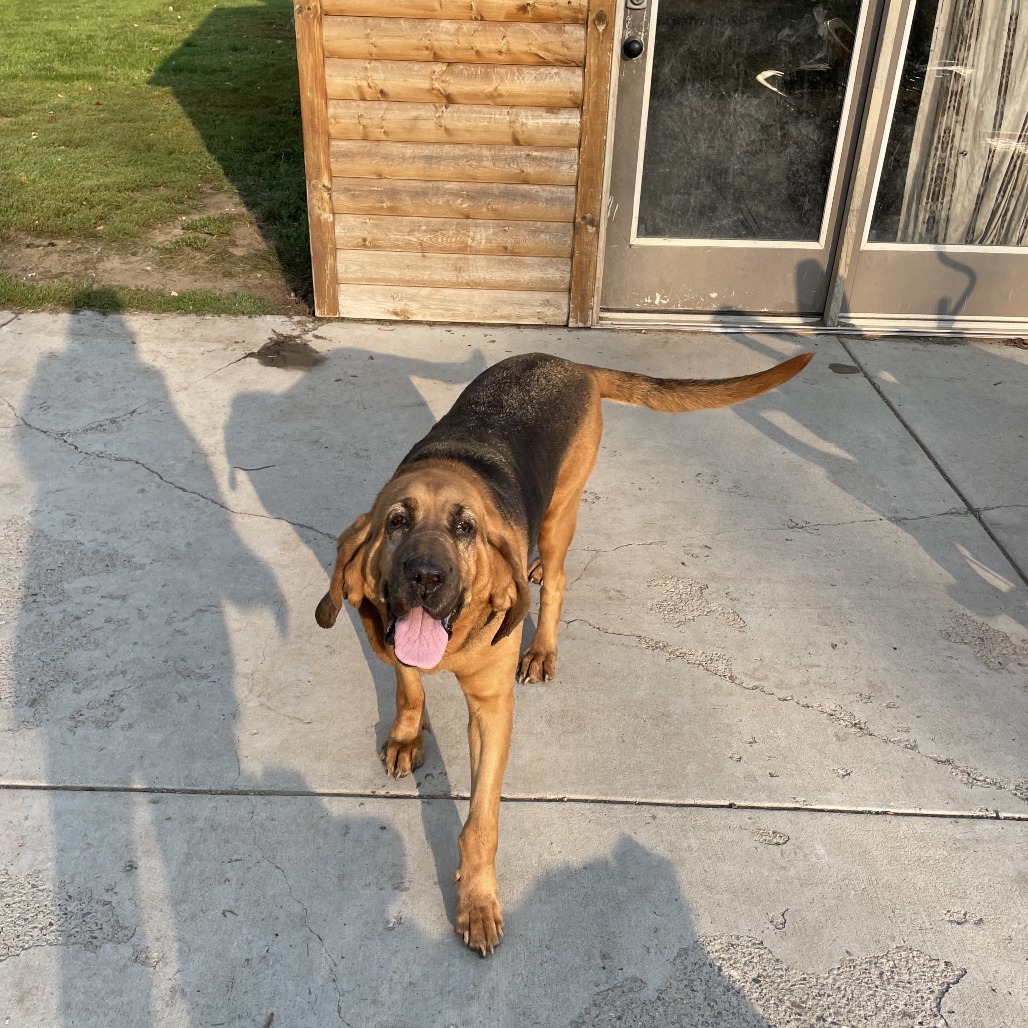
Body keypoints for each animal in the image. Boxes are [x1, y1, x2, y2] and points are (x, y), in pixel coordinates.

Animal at [312, 351, 810, 953]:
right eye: (396, 522)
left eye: (465, 528)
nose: (425, 577)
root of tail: (571, 362)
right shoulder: (391, 640)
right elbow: (408, 685)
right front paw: (409, 735)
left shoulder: (492, 710)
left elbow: (481, 823)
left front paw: (477, 900)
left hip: (560, 513)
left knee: (560, 579)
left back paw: (542, 644)